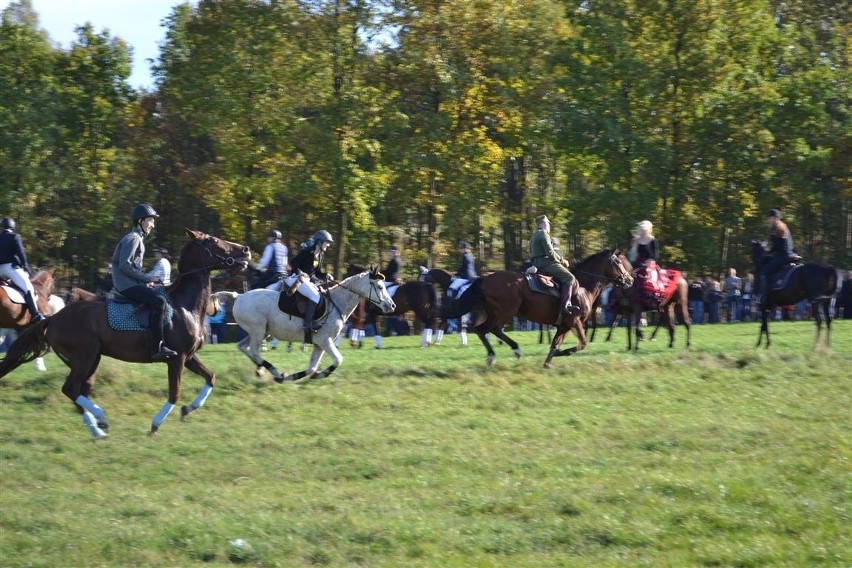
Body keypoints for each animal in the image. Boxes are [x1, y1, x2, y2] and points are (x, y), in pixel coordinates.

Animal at [0, 231, 251, 440]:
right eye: (214, 240)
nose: (246, 250)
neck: (184, 306)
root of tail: (53, 318)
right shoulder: (177, 358)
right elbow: (174, 393)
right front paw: (155, 425)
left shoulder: (189, 357)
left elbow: (211, 378)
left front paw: (188, 409)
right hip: (84, 357)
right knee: (70, 389)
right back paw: (100, 422)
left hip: (89, 359)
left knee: (80, 390)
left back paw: (97, 426)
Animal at [230, 268, 396, 384]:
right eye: (380, 287)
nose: (392, 305)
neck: (337, 302)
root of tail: (240, 296)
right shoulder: (325, 341)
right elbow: (338, 360)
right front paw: (322, 374)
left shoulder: (319, 344)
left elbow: (312, 368)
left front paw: (298, 376)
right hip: (258, 331)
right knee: (253, 351)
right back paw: (275, 372)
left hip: (262, 332)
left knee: (243, 347)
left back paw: (265, 371)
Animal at [440, 250, 632, 366]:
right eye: (618, 262)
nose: (629, 280)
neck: (583, 286)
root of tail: (485, 279)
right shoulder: (574, 321)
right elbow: (583, 343)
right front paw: (563, 353)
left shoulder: (564, 325)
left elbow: (555, 344)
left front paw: (548, 362)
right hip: (505, 312)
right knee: (487, 329)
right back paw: (505, 352)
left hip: (497, 313)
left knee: (484, 329)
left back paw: (505, 352)